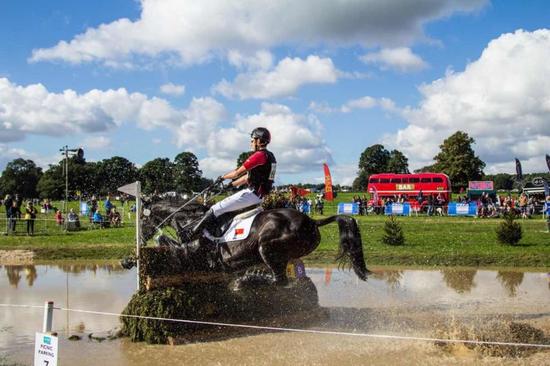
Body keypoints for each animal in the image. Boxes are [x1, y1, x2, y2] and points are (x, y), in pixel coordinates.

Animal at [141, 197, 370, 286]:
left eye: (142, 219)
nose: (141, 237)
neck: (190, 220)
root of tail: (312, 221)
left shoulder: (194, 252)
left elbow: (167, 240)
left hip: (266, 247)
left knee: (279, 281)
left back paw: (249, 280)